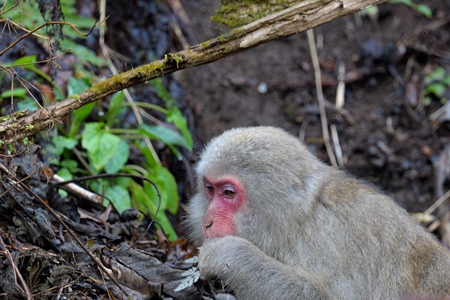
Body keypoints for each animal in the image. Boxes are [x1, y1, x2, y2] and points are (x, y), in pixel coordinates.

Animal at [185, 126, 450, 300]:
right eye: (210, 189)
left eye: (228, 193)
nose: (207, 222)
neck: (298, 220)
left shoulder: (332, 242)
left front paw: (228, 254)